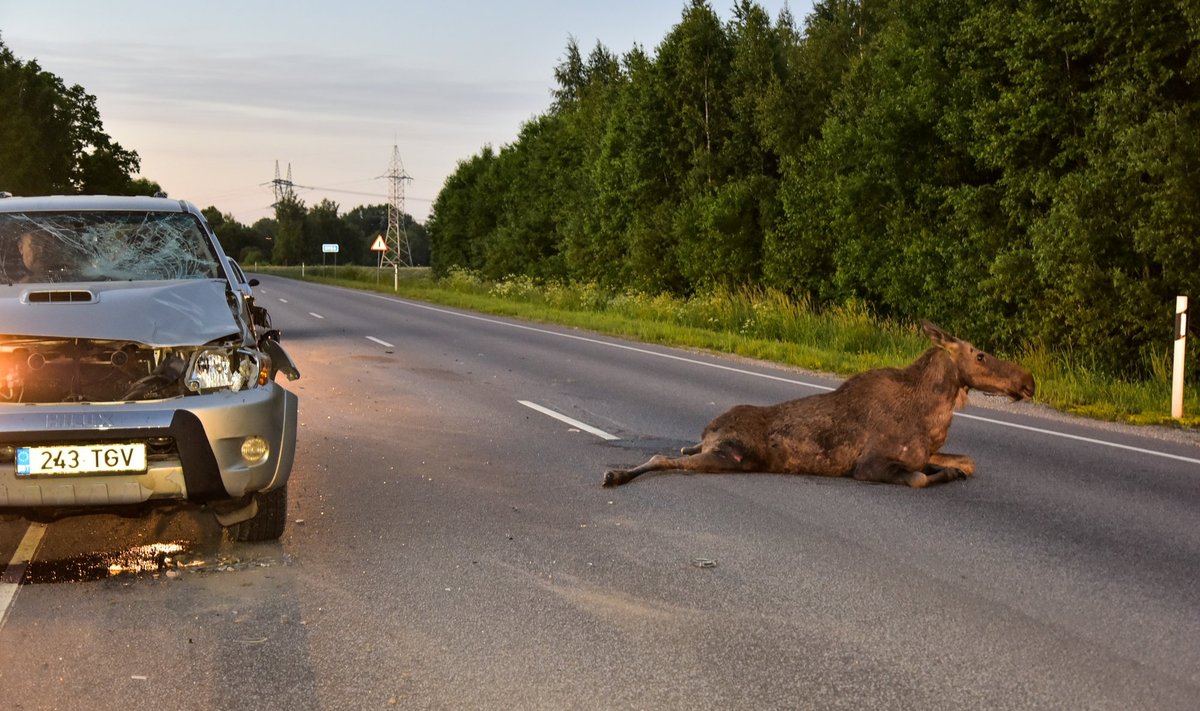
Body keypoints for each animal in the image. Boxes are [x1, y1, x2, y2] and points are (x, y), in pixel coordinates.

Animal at [604, 321, 1036, 490]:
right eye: (979, 354)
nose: (1029, 381)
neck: (933, 419)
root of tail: (710, 429)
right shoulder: (869, 465)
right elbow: (919, 477)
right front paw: (946, 474)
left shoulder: (923, 452)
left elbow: (965, 461)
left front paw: (954, 469)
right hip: (732, 455)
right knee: (661, 457)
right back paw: (615, 474)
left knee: (680, 449)